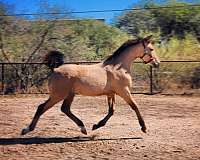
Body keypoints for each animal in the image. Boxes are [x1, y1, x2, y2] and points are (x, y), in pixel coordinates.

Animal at [21, 35, 160, 135]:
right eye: (151, 49)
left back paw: (83, 128)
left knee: (65, 109)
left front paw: (96, 126)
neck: (118, 67)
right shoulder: (124, 91)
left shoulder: (111, 93)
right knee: (42, 107)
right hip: (58, 95)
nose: (157, 63)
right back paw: (27, 130)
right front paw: (144, 128)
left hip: (69, 95)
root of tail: (55, 69)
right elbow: (135, 106)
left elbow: (111, 111)